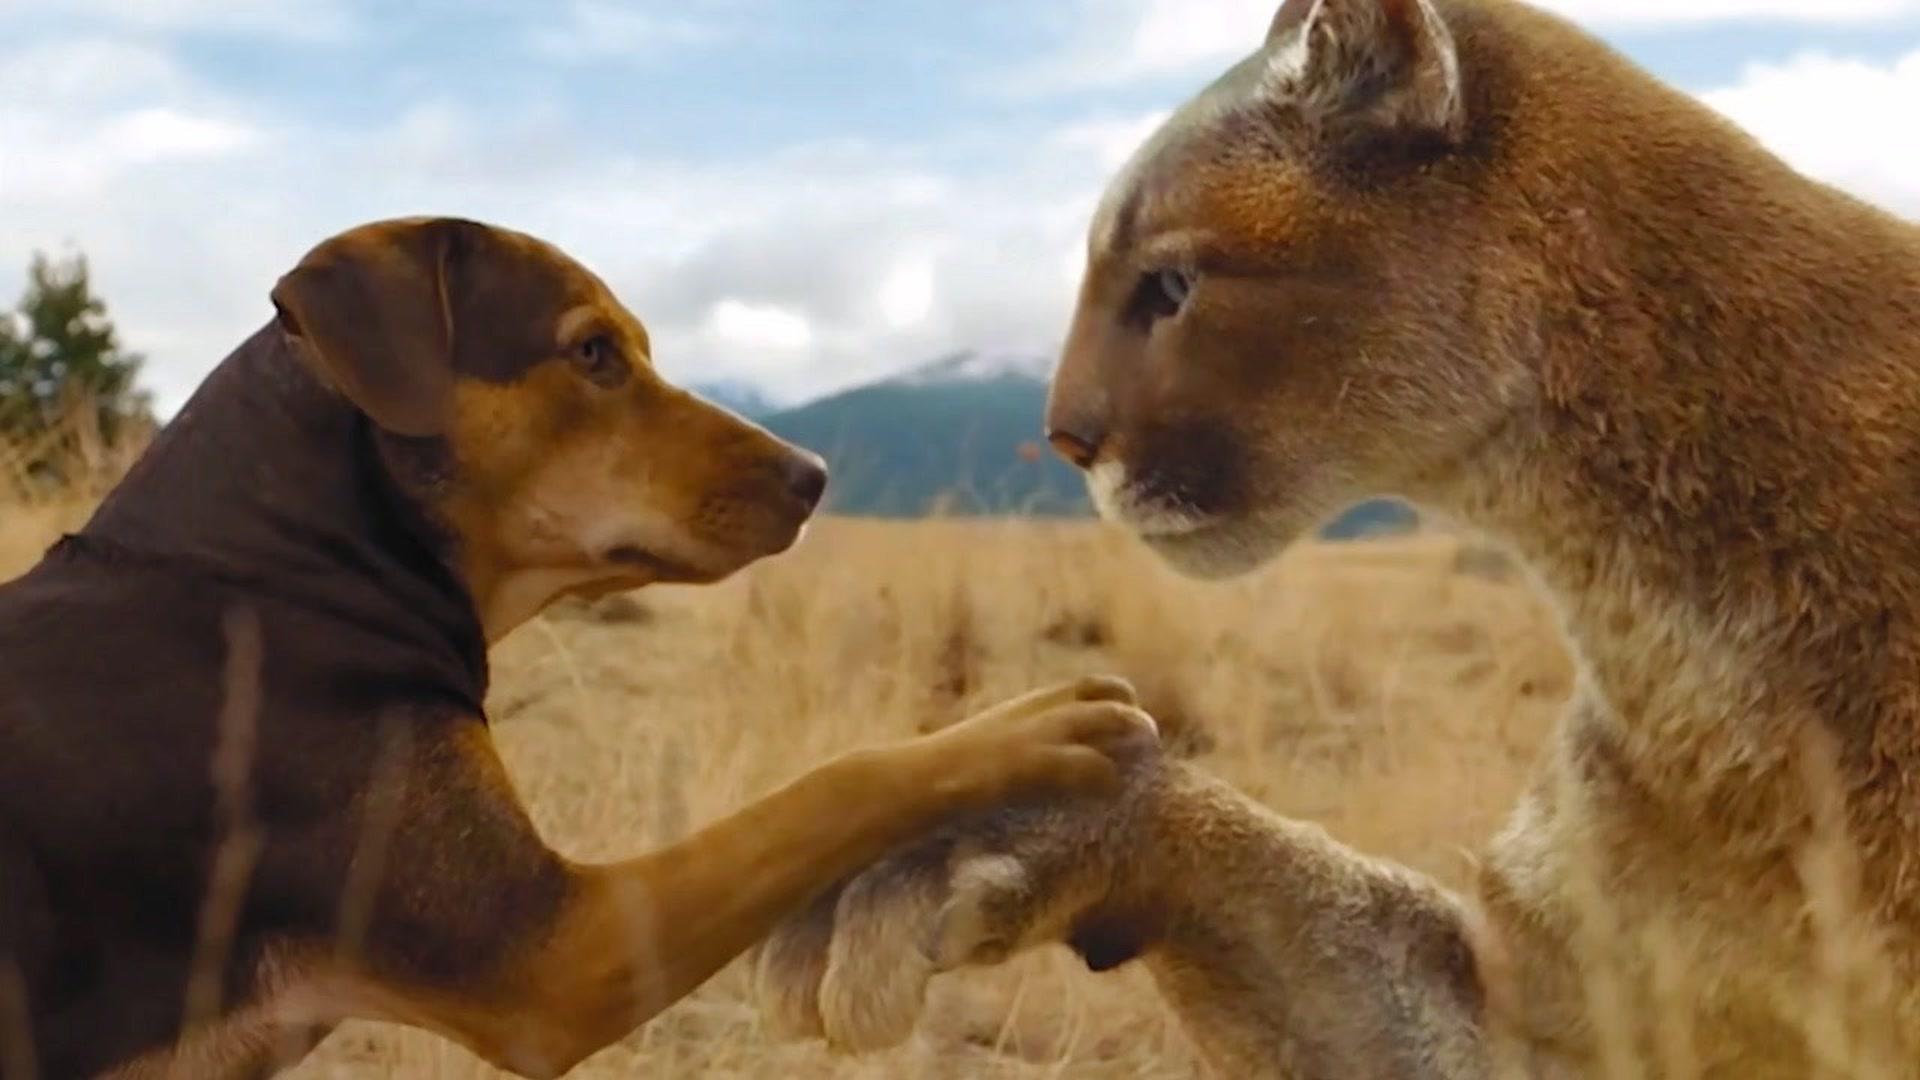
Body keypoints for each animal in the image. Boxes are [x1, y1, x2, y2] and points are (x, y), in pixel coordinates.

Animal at [0, 219, 1152, 1076]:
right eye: (592, 352)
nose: (815, 474)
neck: (273, 562)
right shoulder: (554, 958)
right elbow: (839, 783)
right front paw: (1038, 729)